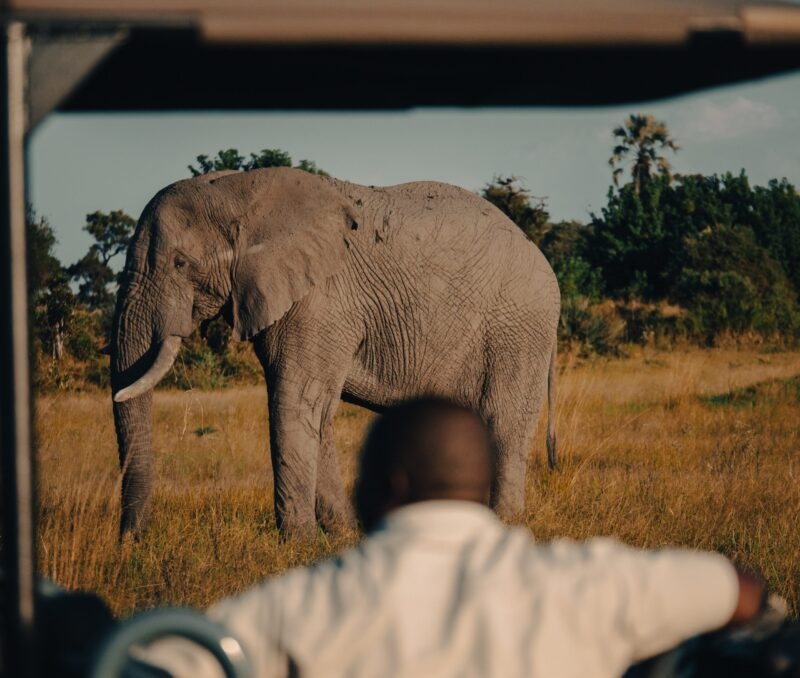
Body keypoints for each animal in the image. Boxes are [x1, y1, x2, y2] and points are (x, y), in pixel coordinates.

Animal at [111, 167, 560, 540]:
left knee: (502, 424)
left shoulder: (321, 302)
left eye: (180, 263)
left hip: (518, 330)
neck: (240, 190)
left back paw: (503, 524)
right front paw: (341, 536)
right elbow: (317, 412)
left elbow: (293, 403)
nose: (131, 544)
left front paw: (296, 545)